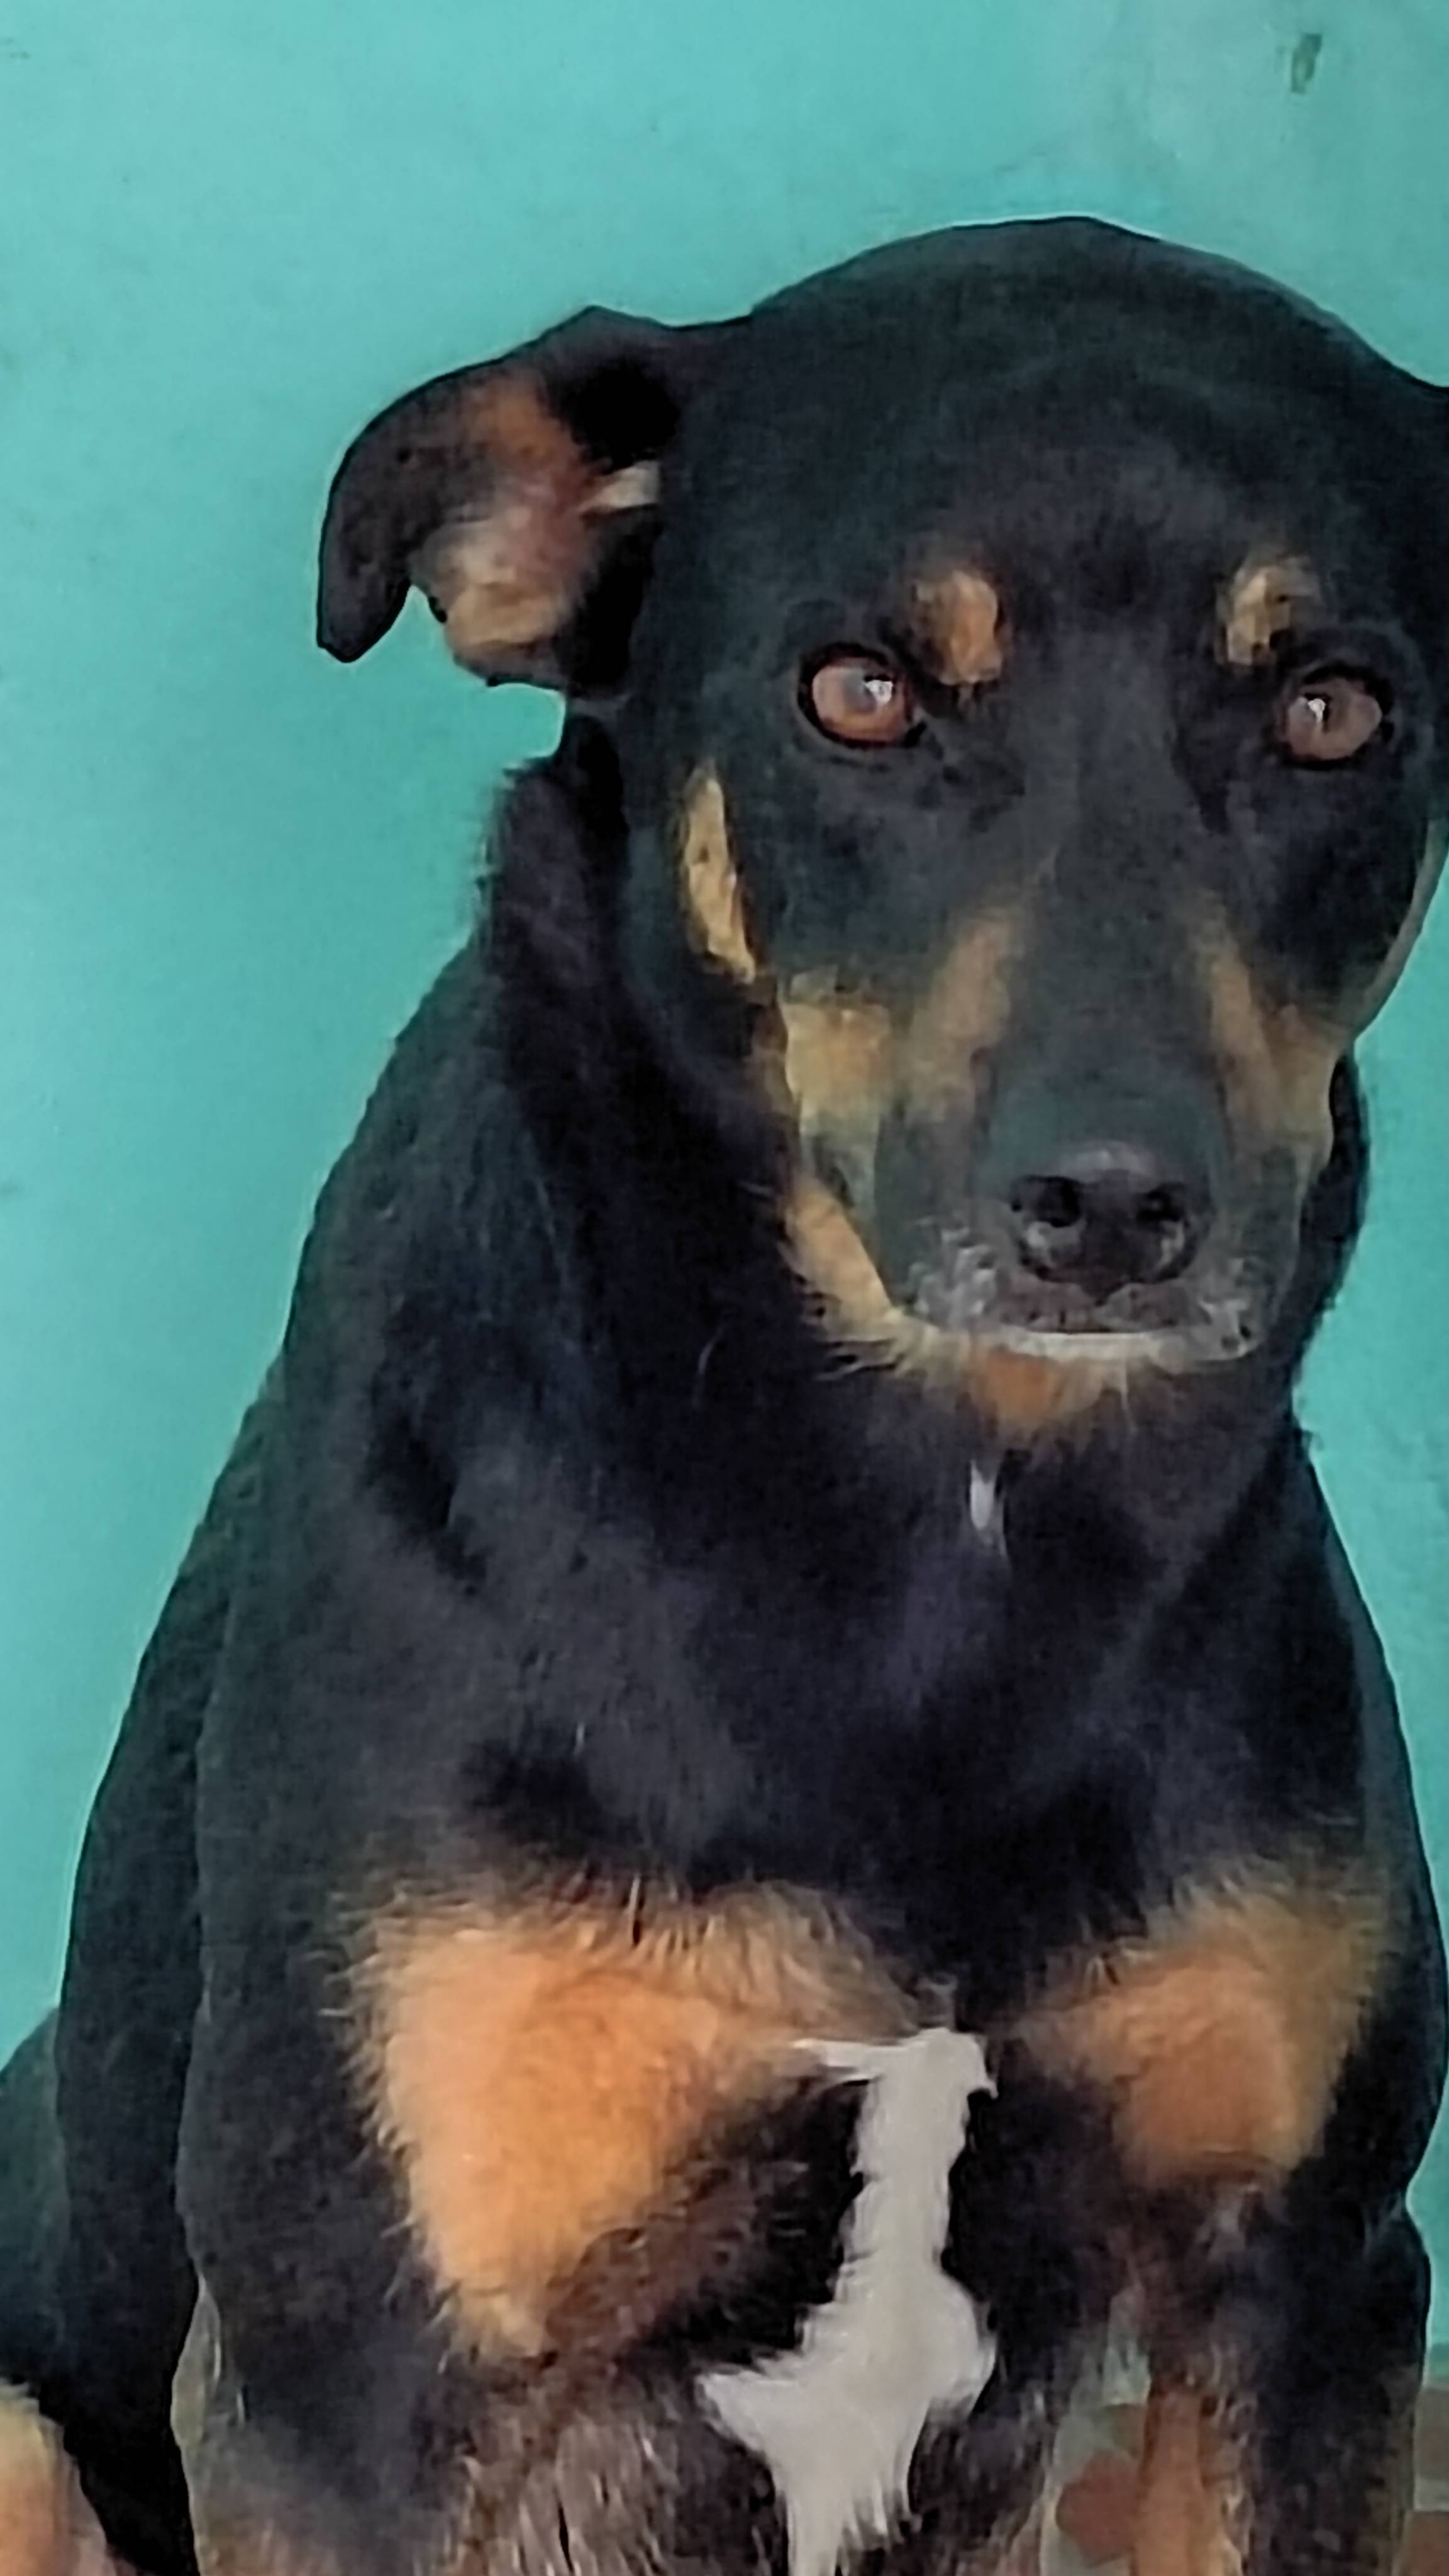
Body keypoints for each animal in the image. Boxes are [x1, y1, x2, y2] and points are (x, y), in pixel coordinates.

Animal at [1, 215, 1447, 2576]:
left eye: (1331, 711)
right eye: (855, 693)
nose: (1115, 1207)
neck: (934, 1534)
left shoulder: (1309, 2289)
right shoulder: (350, 2372)